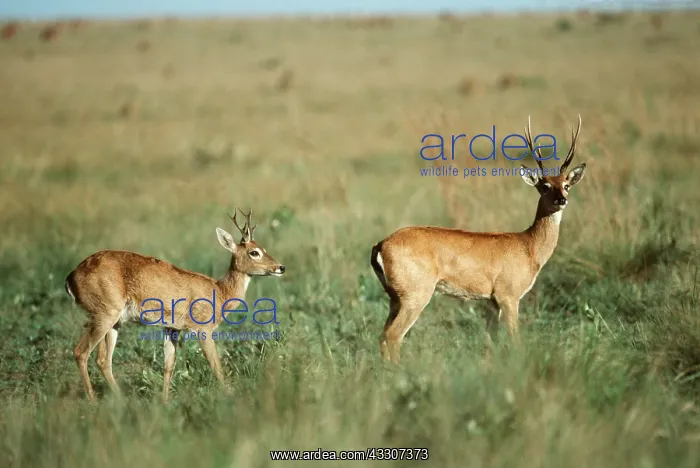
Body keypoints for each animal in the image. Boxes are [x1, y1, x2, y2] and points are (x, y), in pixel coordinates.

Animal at [65, 208, 286, 401]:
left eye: (264, 248)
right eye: (254, 252)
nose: (280, 267)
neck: (220, 292)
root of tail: (70, 278)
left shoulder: (171, 328)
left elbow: (168, 365)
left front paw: (164, 401)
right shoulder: (203, 328)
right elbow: (215, 364)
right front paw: (229, 395)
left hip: (114, 321)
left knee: (103, 359)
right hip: (105, 313)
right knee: (81, 352)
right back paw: (93, 401)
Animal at [370, 115, 586, 364]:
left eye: (566, 185)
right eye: (544, 186)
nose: (561, 200)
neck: (528, 245)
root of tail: (381, 244)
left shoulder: (491, 302)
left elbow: (491, 340)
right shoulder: (508, 297)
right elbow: (515, 340)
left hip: (395, 299)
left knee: (382, 336)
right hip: (415, 297)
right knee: (393, 336)